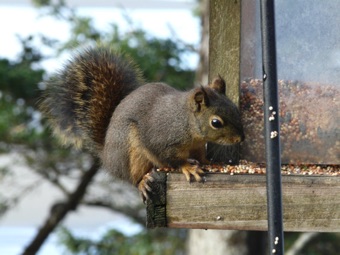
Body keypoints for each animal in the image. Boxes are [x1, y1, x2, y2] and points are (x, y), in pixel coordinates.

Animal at [40, 46, 244, 200]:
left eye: (236, 109)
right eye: (216, 122)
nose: (240, 139)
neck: (187, 125)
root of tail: (106, 156)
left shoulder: (198, 146)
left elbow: (201, 156)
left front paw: (209, 163)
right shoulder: (160, 140)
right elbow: (171, 158)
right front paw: (188, 167)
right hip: (131, 152)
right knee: (132, 178)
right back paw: (142, 182)